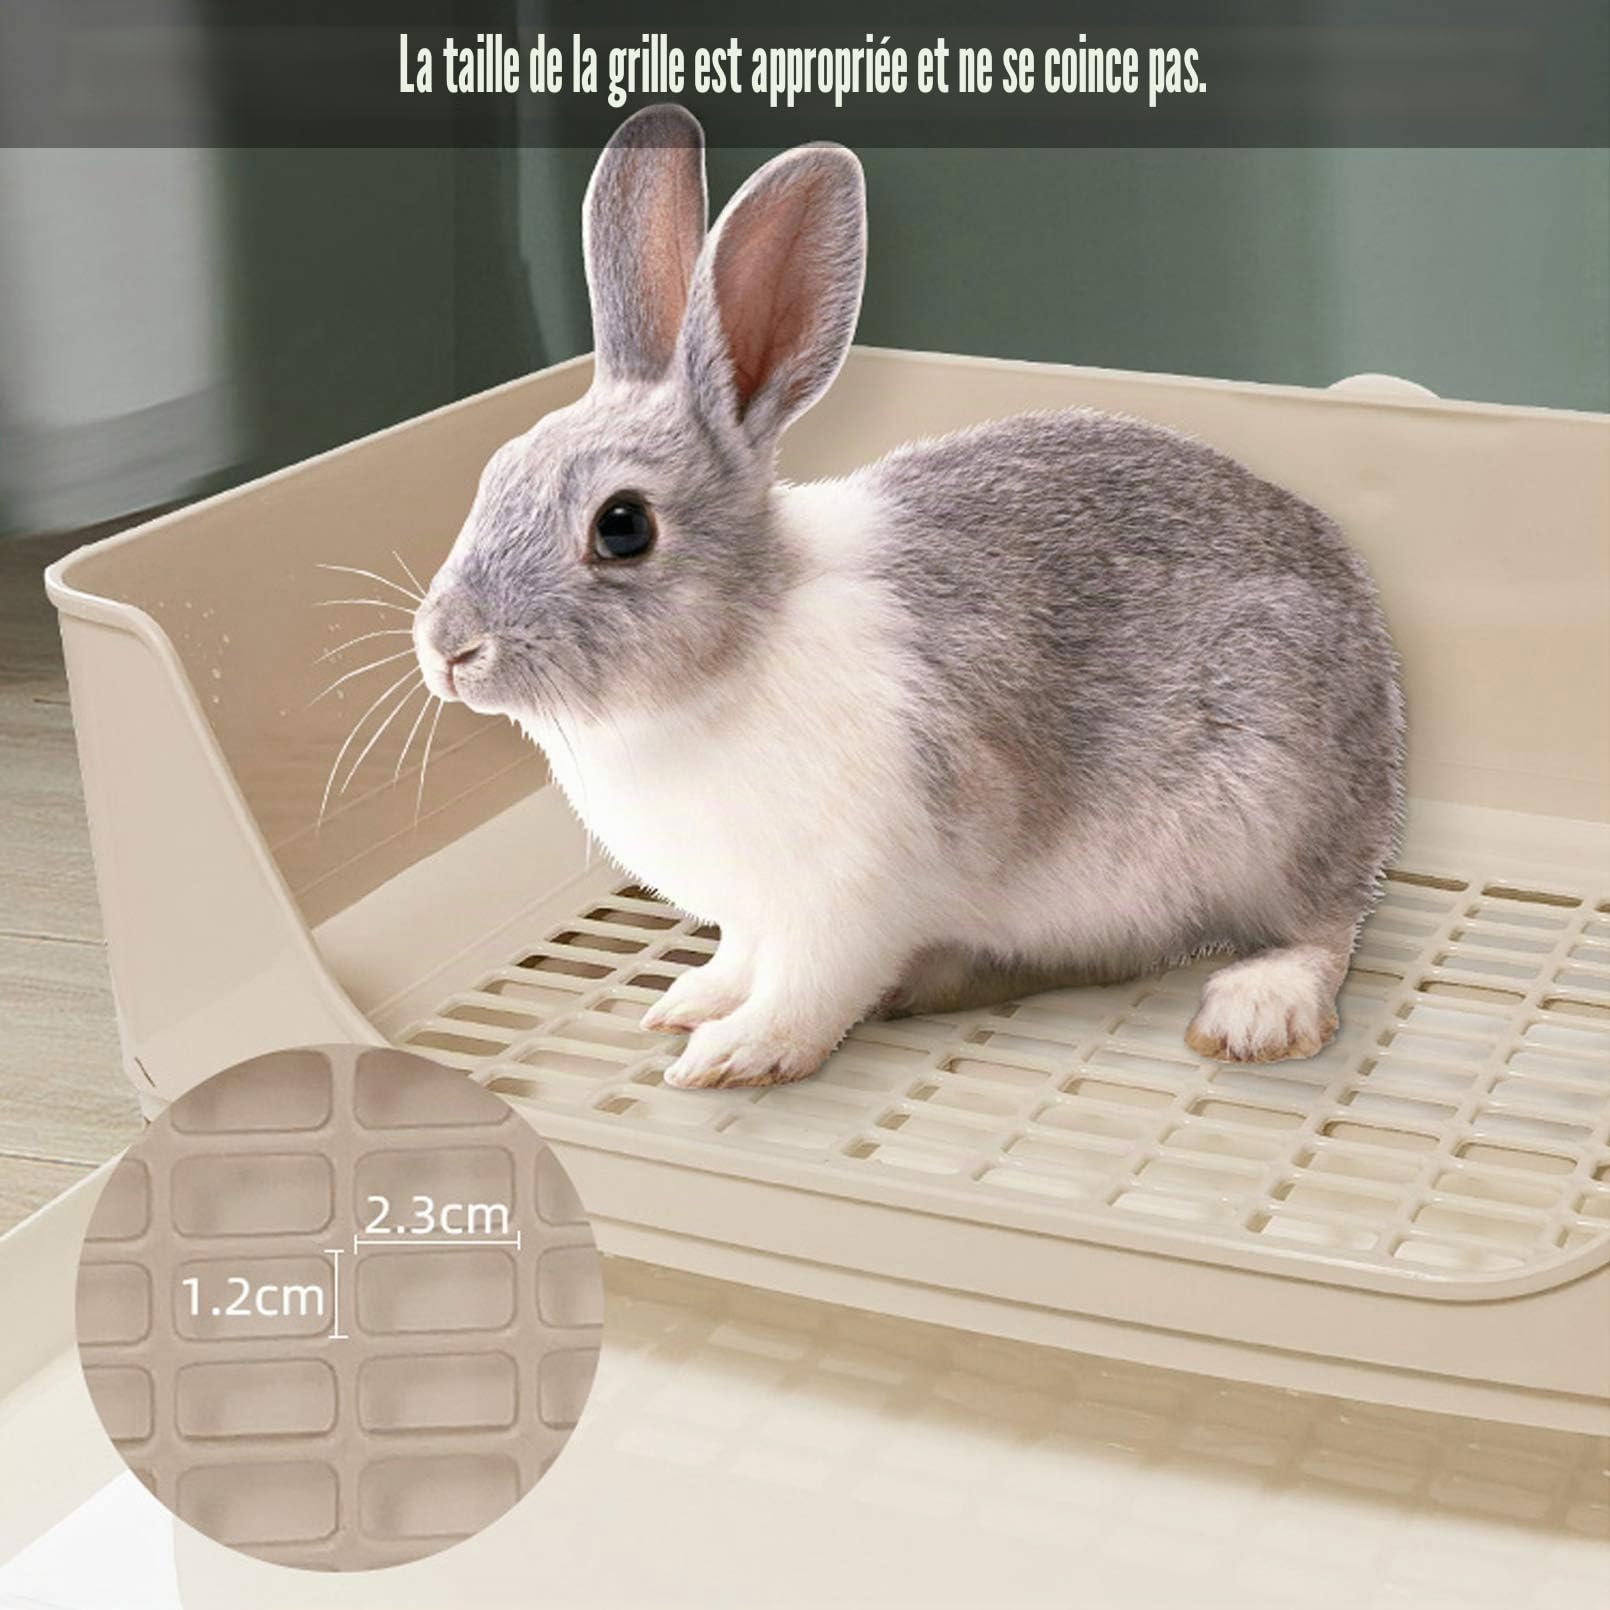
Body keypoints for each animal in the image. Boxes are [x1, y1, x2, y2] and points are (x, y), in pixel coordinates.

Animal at [414, 103, 1404, 1091]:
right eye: (496, 470)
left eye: (622, 526)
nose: (448, 646)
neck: (737, 650)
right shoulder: (754, 912)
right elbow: (740, 958)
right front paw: (689, 1001)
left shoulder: (848, 899)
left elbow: (809, 989)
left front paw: (734, 1054)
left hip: (1277, 813)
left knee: (1325, 930)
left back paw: (1257, 1012)